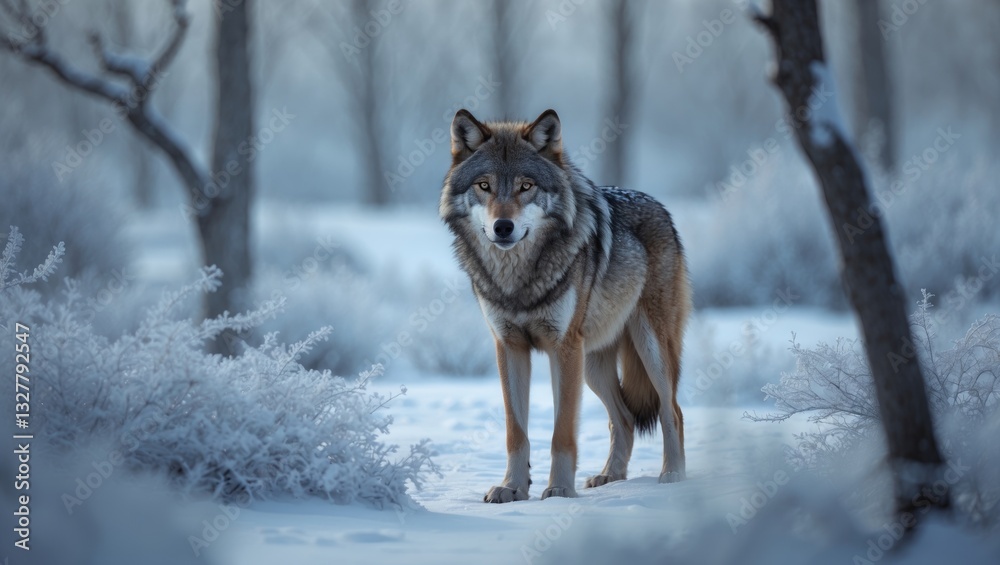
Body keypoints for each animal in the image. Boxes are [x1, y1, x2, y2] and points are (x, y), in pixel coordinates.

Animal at [440, 109, 691, 503]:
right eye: (484, 186)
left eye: (526, 186)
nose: (503, 226)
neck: (518, 280)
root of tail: (658, 205)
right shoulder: (508, 347)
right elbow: (516, 433)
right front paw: (512, 488)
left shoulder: (563, 347)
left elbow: (562, 433)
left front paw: (558, 490)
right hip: (593, 365)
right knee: (623, 419)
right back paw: (609, 477)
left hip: (648, 349)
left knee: (673, 412)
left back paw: (672, 475)